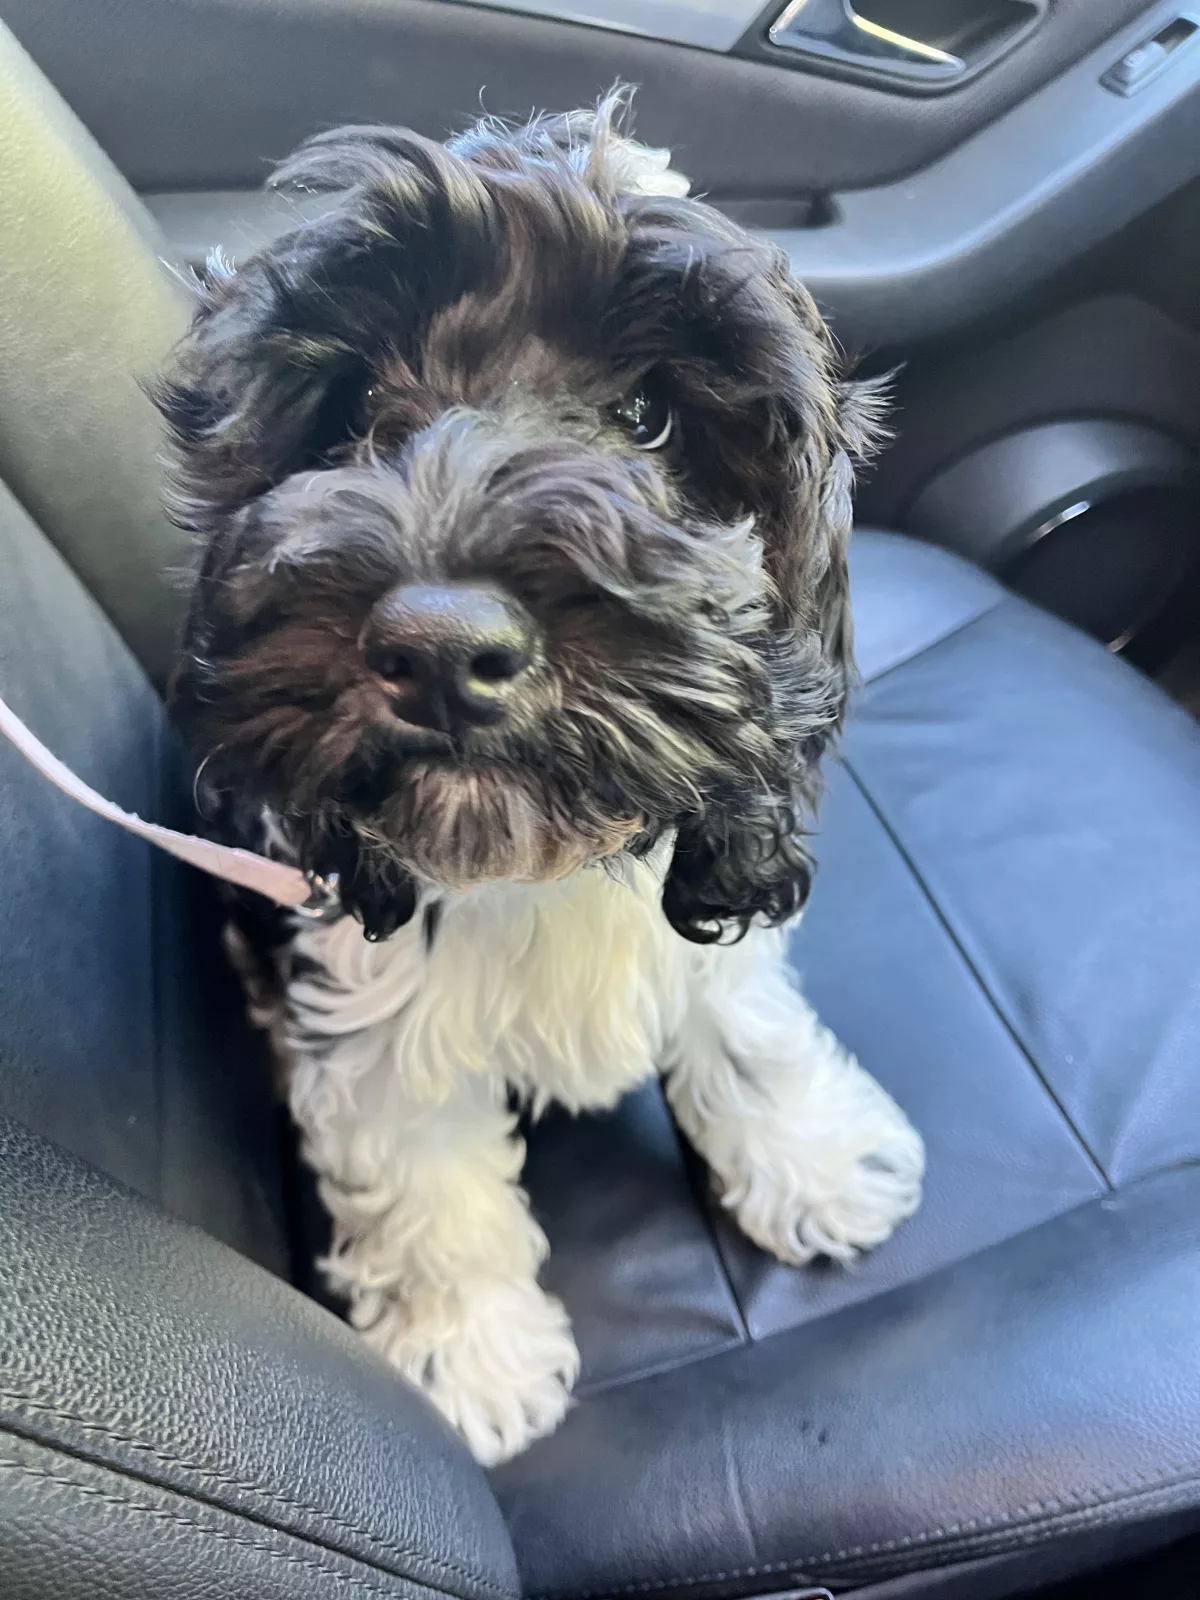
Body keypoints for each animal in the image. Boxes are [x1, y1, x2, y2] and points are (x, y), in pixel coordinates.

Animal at [154, 94, 925, 1465]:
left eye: (651, 418)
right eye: (356, 403)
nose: (440, 647)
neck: (539, 869)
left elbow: (745, 1023)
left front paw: (817, 1159)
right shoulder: (360, 987)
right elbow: (419, 1169)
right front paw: (468, 1348)